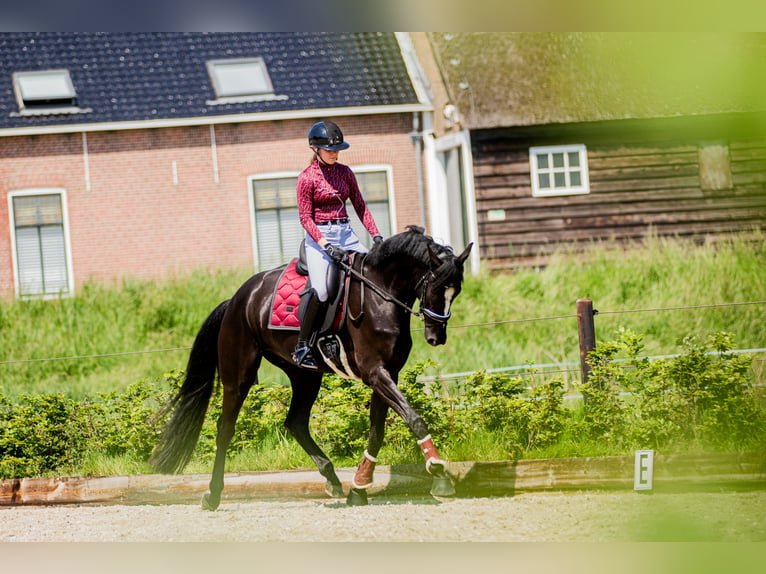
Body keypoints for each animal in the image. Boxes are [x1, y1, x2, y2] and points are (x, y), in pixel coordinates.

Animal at [148, 225, 474, 508]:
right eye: (436, 288)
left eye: (456, 291)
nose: (436, 337)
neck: (379, 294)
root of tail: (239, 298)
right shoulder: (375, 373)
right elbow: (413, 419)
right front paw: (439, 473)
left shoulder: (387, 373)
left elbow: (377, 431)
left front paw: (359, 486)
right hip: (238, 375)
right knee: (225, 428)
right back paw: (213, 495)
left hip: (304, 376)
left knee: (295, 422)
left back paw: (332, 479)